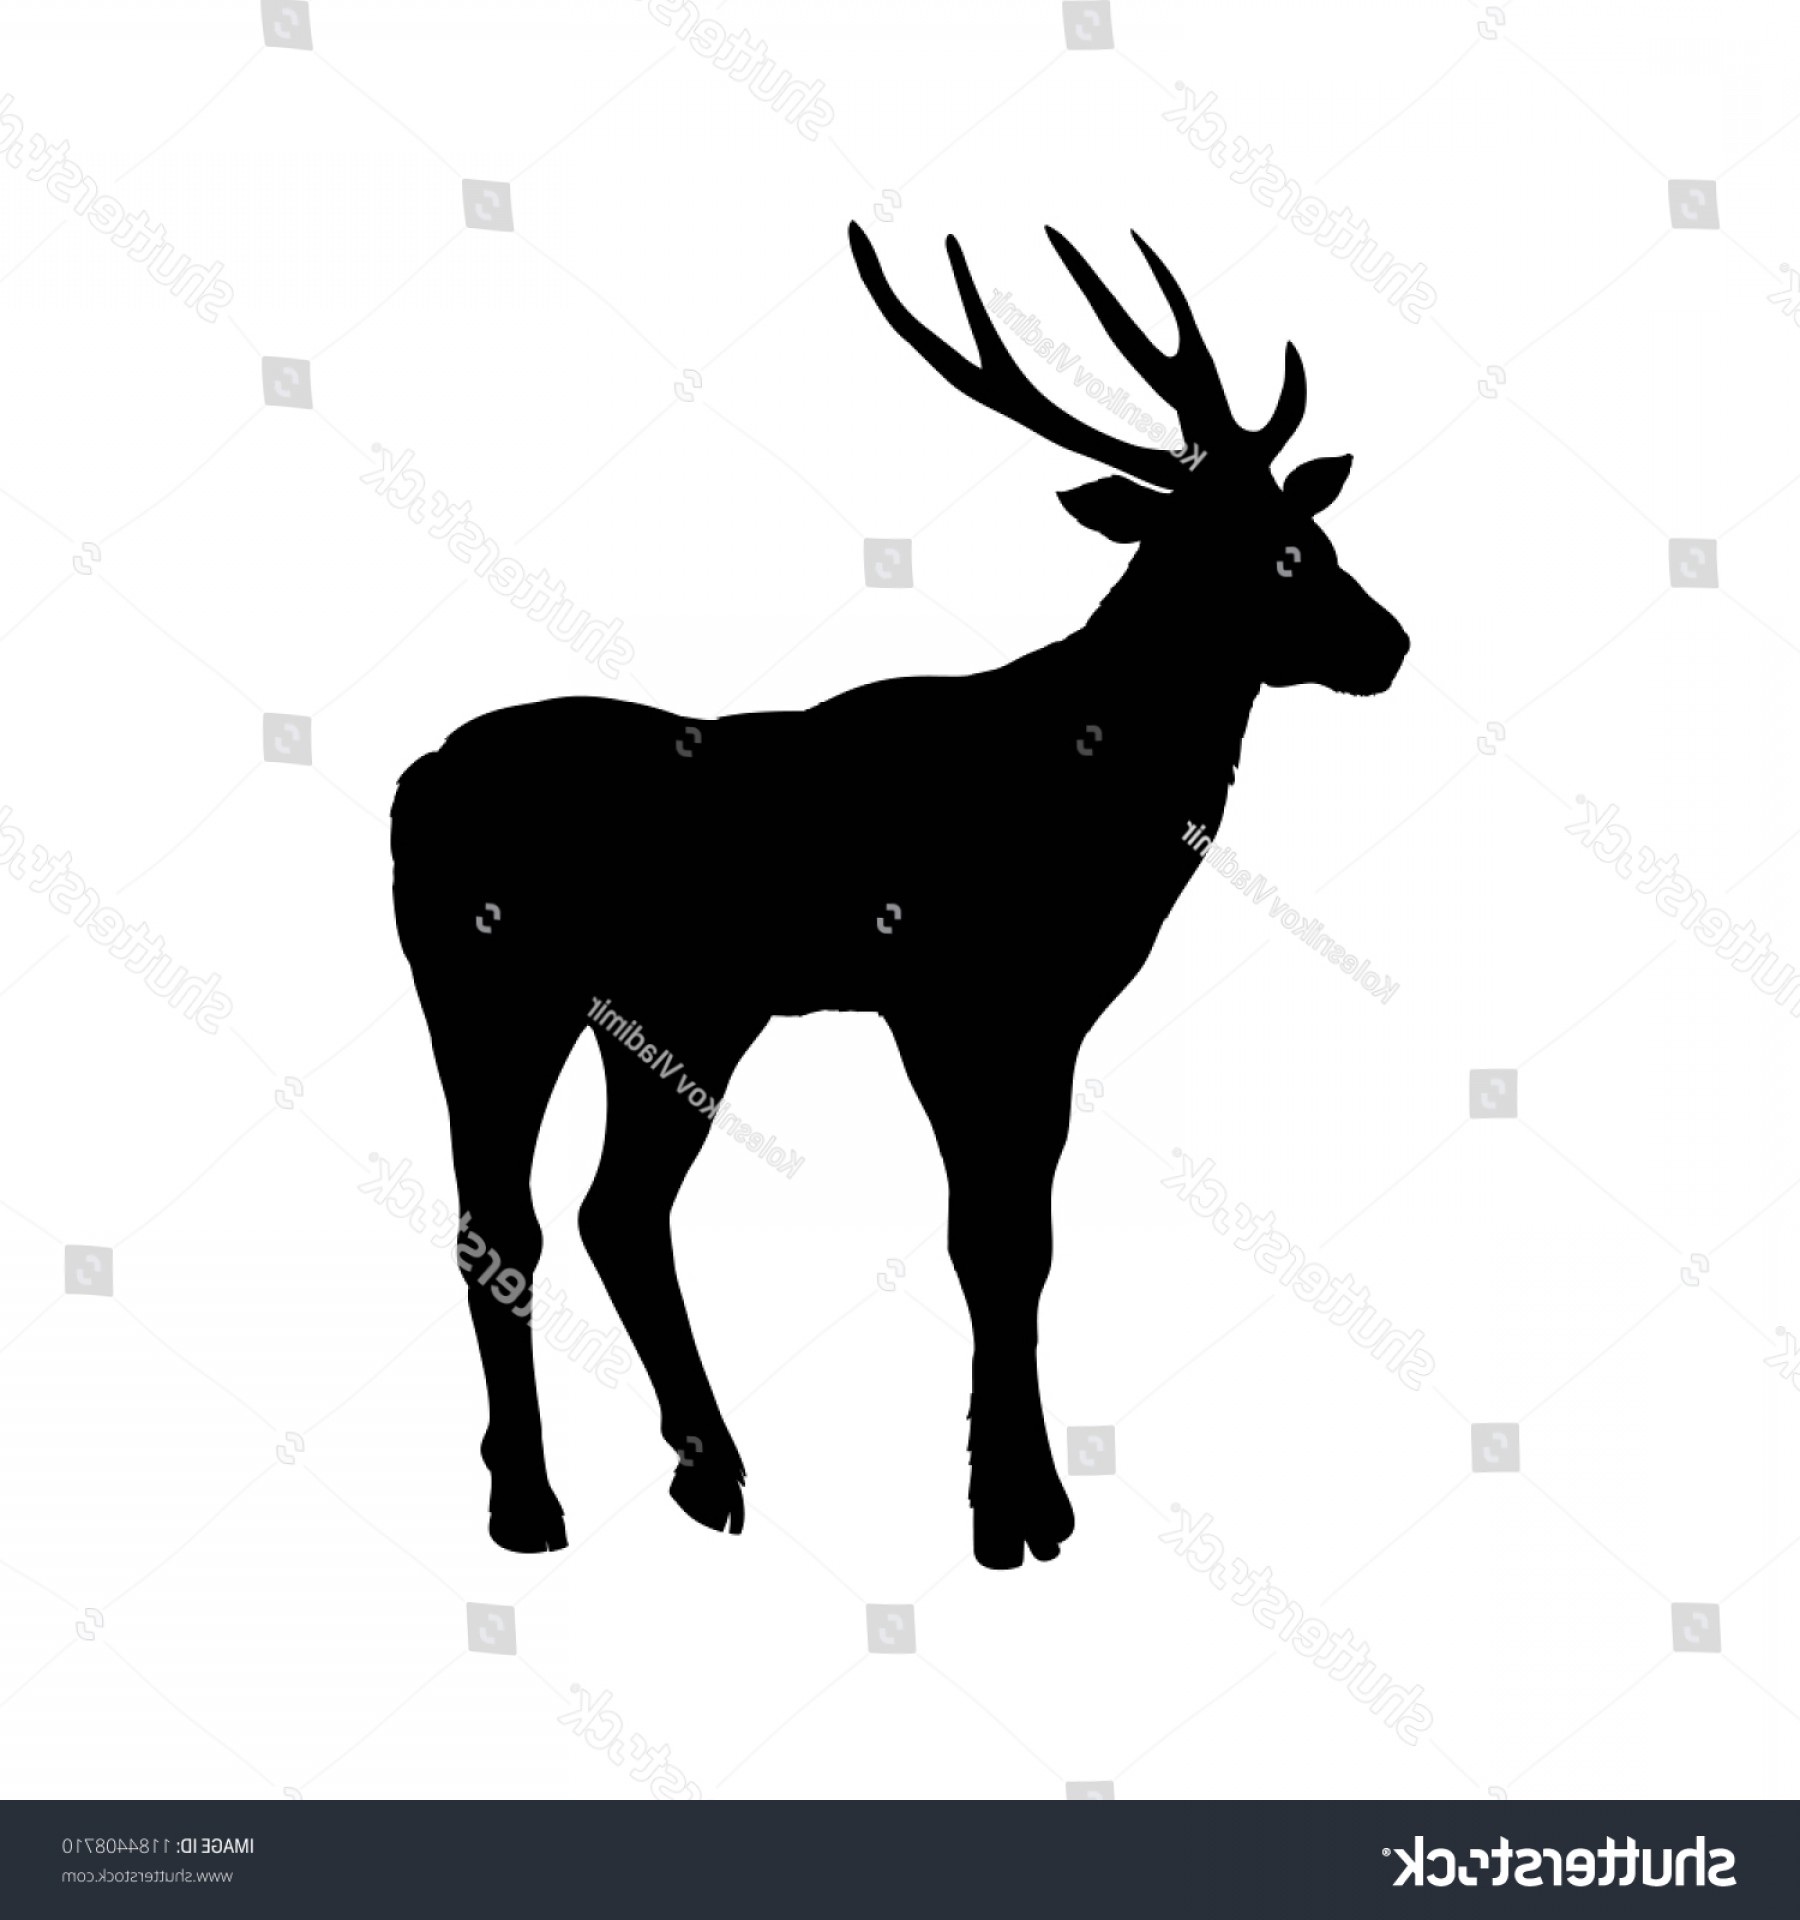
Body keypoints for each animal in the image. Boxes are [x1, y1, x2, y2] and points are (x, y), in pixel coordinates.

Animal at [389, 222, 1410, 1571]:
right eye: (1242, 549)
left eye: (1310, 524)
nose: (1387, 642)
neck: (1088, 802)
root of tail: (412, 784)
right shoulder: (943, 995)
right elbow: (985, 1236)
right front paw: (1012, 1512)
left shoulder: (1050, 1018)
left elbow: (1025, 1239)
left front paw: (1026, 1501)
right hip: (485, 981)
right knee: (503, 1218)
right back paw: (528, 1506)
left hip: (674, 1011)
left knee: (616, 1209)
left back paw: (707, 1475)